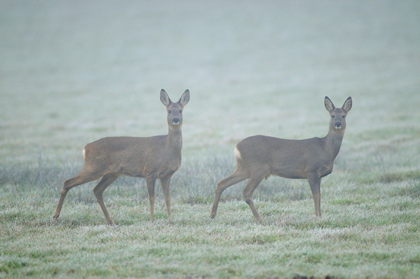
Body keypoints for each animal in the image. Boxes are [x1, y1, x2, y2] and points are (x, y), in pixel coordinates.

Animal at [53, 89, 190, 225]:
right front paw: (152, 221)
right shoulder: (150, 171)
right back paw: (55, 216)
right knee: (67, 182)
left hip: (111, 173)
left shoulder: (166, 175)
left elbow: (168, 198)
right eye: (169, 111)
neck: (167, 149)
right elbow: (152, 197)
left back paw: (110, 221)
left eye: (181, 110)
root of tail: (86, 147)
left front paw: (171, 221)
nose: (176, 119)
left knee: (97, 190)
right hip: (93, 167)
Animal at [209, 97, 352, 223]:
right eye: (332, 115)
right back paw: (259, 218)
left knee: (222, 183)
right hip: (258, 168)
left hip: (244, 168)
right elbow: (315, 196)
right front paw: (317, 218)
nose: (338, 124)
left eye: (343, 116)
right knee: (246, 192)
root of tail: (236, 147)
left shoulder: (319, 175)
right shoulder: (311, 170)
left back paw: (212, 215)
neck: (325, 149)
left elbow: (320, 196)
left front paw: (320, 216)